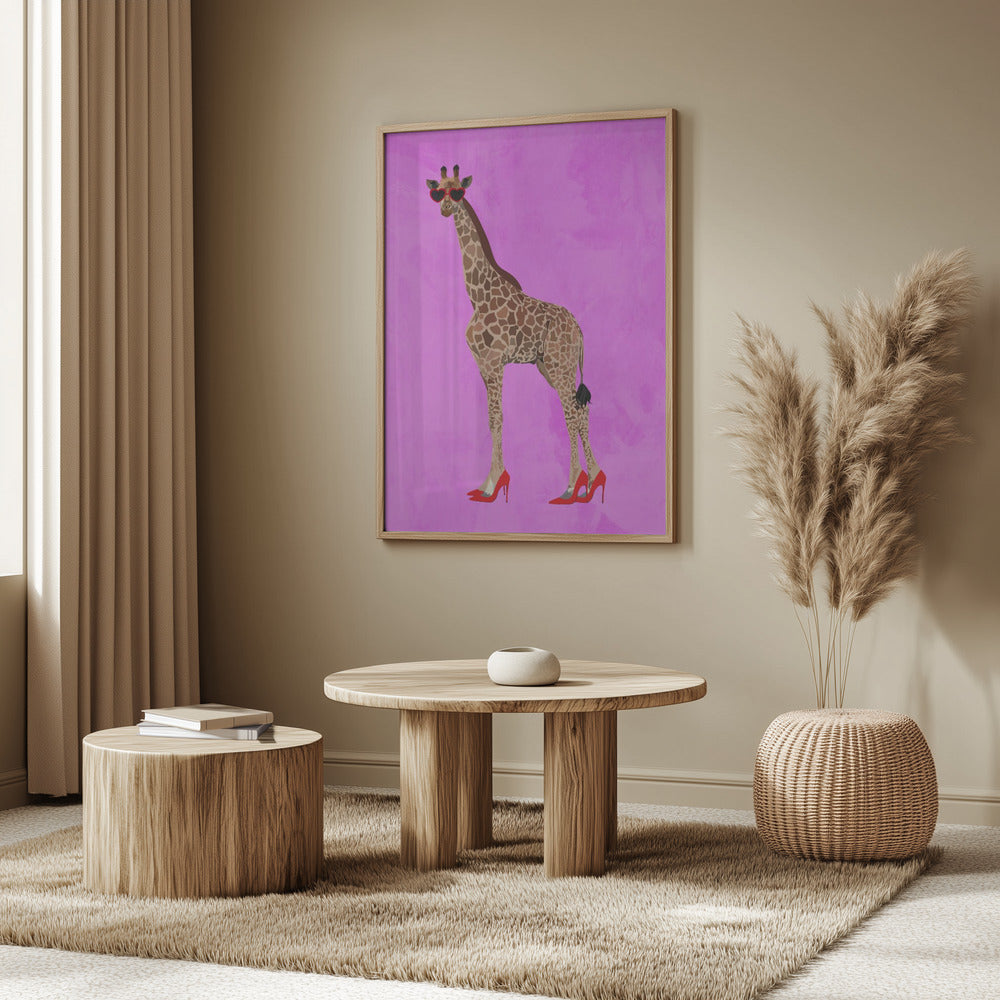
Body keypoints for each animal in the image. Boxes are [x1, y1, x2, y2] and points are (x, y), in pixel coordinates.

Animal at [427, 164, 606, 505]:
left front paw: (492, 485)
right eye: (437, 192)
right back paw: (589, 482)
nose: (444, 209)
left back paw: (573, 486)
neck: (478, 296)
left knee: (572, 414)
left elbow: (498, 418)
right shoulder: (483, 365)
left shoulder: (496, 362)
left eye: (458, 191)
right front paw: (487, 482)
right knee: (580, 410)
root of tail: (579, 329)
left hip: (560, 366)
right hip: (548, 367)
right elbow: (490, 420)